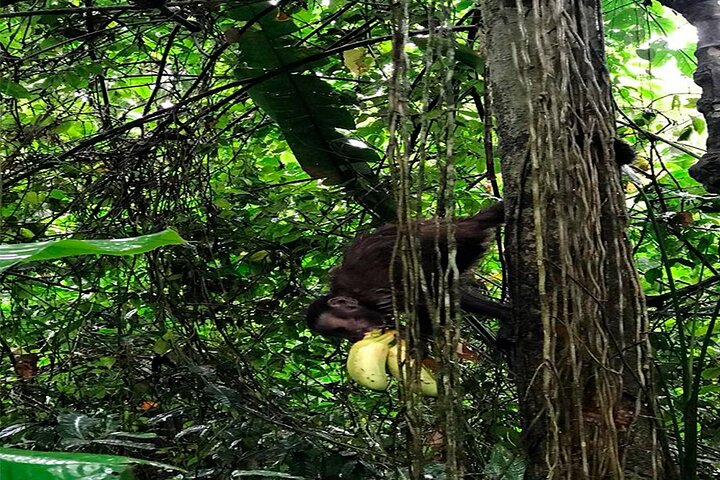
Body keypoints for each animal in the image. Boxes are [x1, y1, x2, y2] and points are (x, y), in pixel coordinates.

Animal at [306, 203, 509, 343]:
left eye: (341, 329)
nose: (354, 338)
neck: (355, 297)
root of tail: (463, 223)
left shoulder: (379, 296)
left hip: (458, 244)